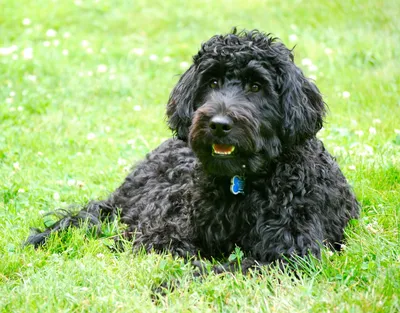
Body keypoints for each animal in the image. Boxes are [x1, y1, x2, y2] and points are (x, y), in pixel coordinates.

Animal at [27, 29, 360, 272]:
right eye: (211, 81)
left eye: (256, 87)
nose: (219, 124)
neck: (242, 184)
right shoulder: (164, 227)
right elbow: (171, 248)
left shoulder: (290, 254)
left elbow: (226, 269)